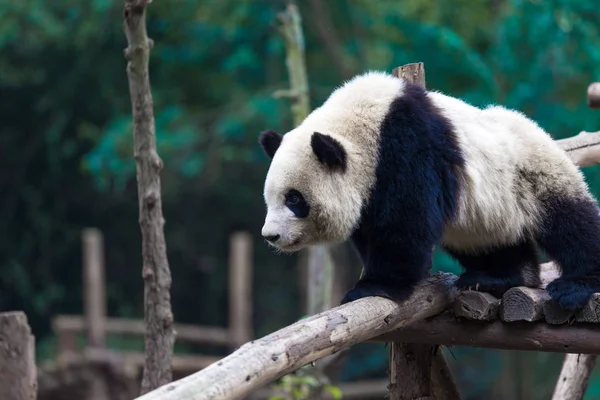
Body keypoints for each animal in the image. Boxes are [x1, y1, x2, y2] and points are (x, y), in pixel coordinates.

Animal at [258, 70, 600, 310]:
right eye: (270, 198)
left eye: (294, 199)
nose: (271, 235)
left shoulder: (407, 146)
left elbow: (407, 220)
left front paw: (375, 286)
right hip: (491, 214)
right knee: (493, 242)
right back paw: (500, 276)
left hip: (533, 173)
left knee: (572, 222)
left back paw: (575, 285)